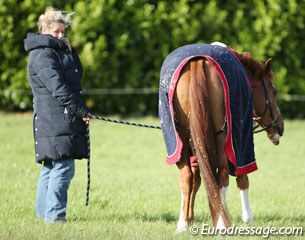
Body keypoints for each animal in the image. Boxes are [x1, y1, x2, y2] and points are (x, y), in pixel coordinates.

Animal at [158, 42, 284, 232]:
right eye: (274, 91)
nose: (280, 127)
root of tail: (199, 61)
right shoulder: (241, 141)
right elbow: (242, 178)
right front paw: (247, 219)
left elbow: (196, 179)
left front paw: (188, 220)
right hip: (222, 136)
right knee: (223, 175)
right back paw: (221, 224)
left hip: (179, 138)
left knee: (187, 176)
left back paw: (183, 224)